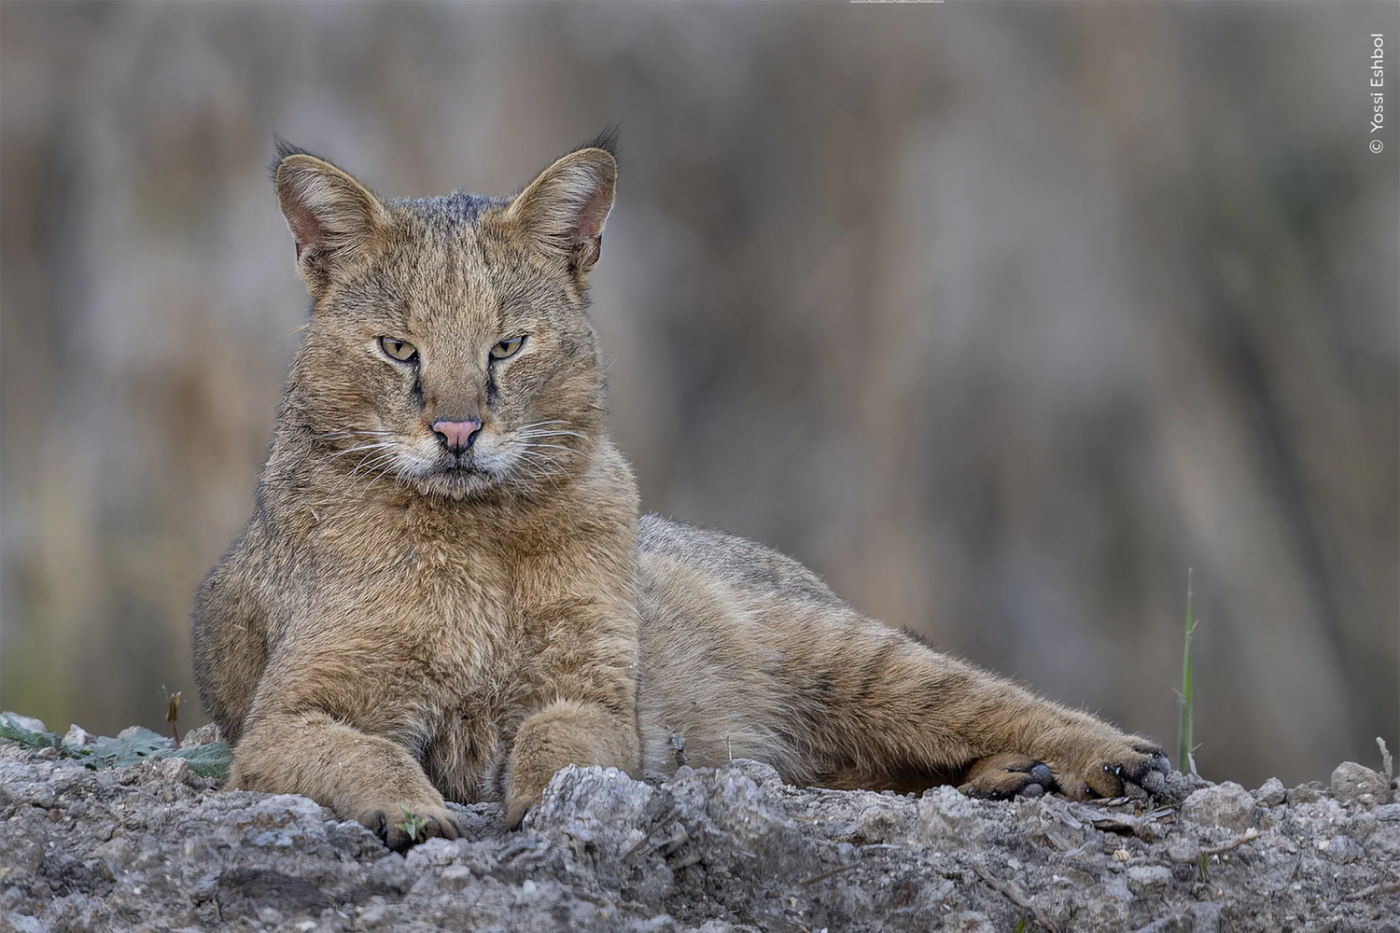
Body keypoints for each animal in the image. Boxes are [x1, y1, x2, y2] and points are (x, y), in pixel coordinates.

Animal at [189, 132, 1170, 851]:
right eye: (399, 349)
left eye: (508, 344)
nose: (459, 431)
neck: (477, 534)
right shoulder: (288, 713)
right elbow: (360, 755)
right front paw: (414, 807)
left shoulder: (587, 692)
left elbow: (562, 751)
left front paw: (547, 806)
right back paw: (1006, 774)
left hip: (851, 652)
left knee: (983, 697)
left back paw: (1099, 756)